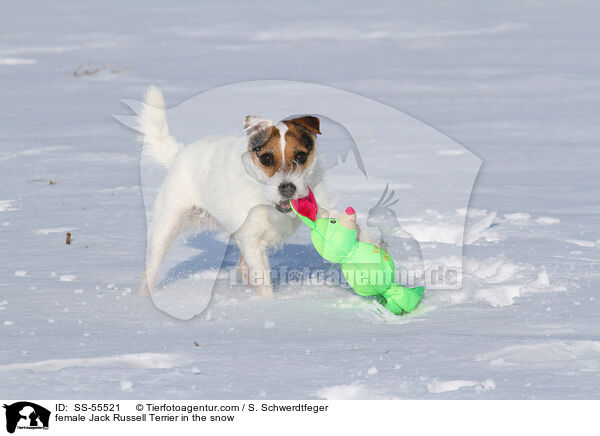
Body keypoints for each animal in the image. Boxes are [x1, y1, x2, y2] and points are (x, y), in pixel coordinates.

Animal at [138, 86, 336, 298]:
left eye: (300, 156)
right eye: (266, 158)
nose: (287, 188)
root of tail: (179, 153)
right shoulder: (251, 241)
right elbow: (262, 279)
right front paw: (270, 303)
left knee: (241, 266)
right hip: (167, 224)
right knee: (152, 265)